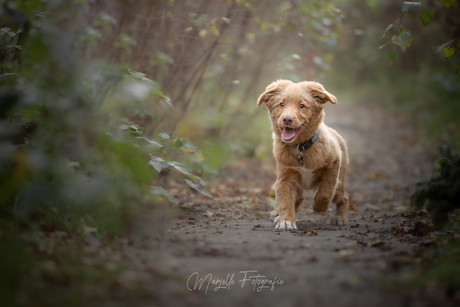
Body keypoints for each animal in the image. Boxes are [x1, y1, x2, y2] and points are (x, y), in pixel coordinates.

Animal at [256, 80, 350, 231]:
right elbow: (285, 201)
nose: (287, 119)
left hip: (340, 181)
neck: (300, 147)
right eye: (281, 104)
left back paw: (339, 218)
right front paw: (286, 221)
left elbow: (326, 191)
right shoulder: (285, 178)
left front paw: (319, 206)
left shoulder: (334, 164)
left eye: (302, 106)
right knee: (298, 199)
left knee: (344, 196)